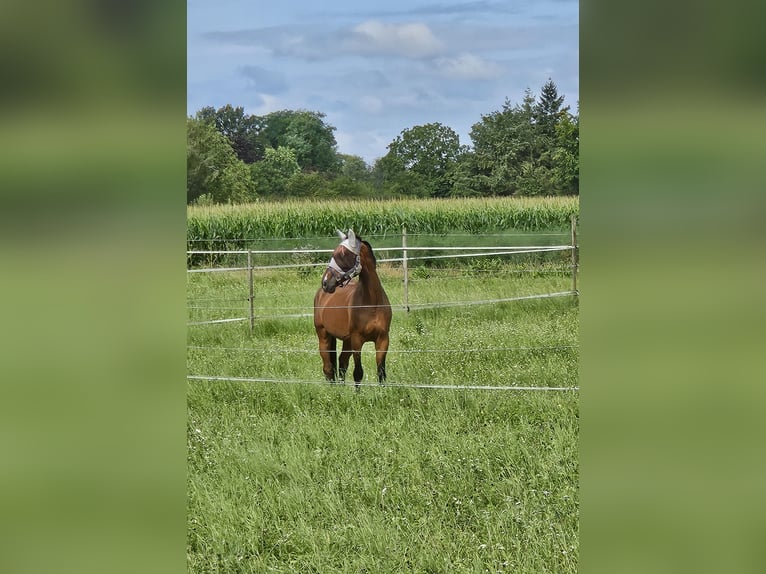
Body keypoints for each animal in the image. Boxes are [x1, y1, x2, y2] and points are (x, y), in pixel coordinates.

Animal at [316, 230, 392, 392]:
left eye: (342, 255)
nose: (325, 282)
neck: (372, 303)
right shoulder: (357, 340)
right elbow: (358, 372)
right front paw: (358, 395)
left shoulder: (383, 340)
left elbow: (381, 372)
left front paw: (383, 393)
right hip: (324, 336)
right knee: (328, 367)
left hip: (347, 340)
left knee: (342, 363)